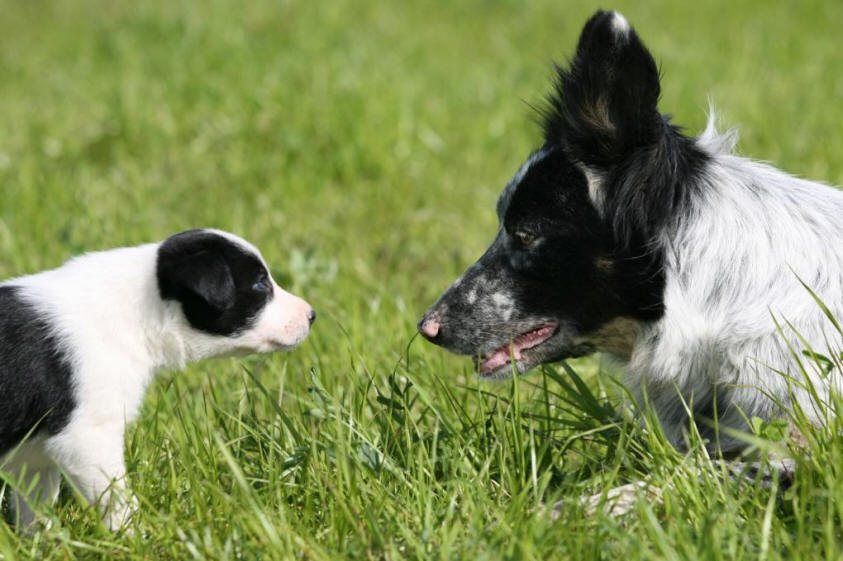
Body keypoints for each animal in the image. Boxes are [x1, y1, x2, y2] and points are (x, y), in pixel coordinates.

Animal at [0, 228, 316, 528]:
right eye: (260, 283)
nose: (311, 314)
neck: (140, 307)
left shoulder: (36, 455)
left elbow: (35, 507)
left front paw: (43, 540)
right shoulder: (87, 436)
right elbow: (118, 500)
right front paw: (131, 536)